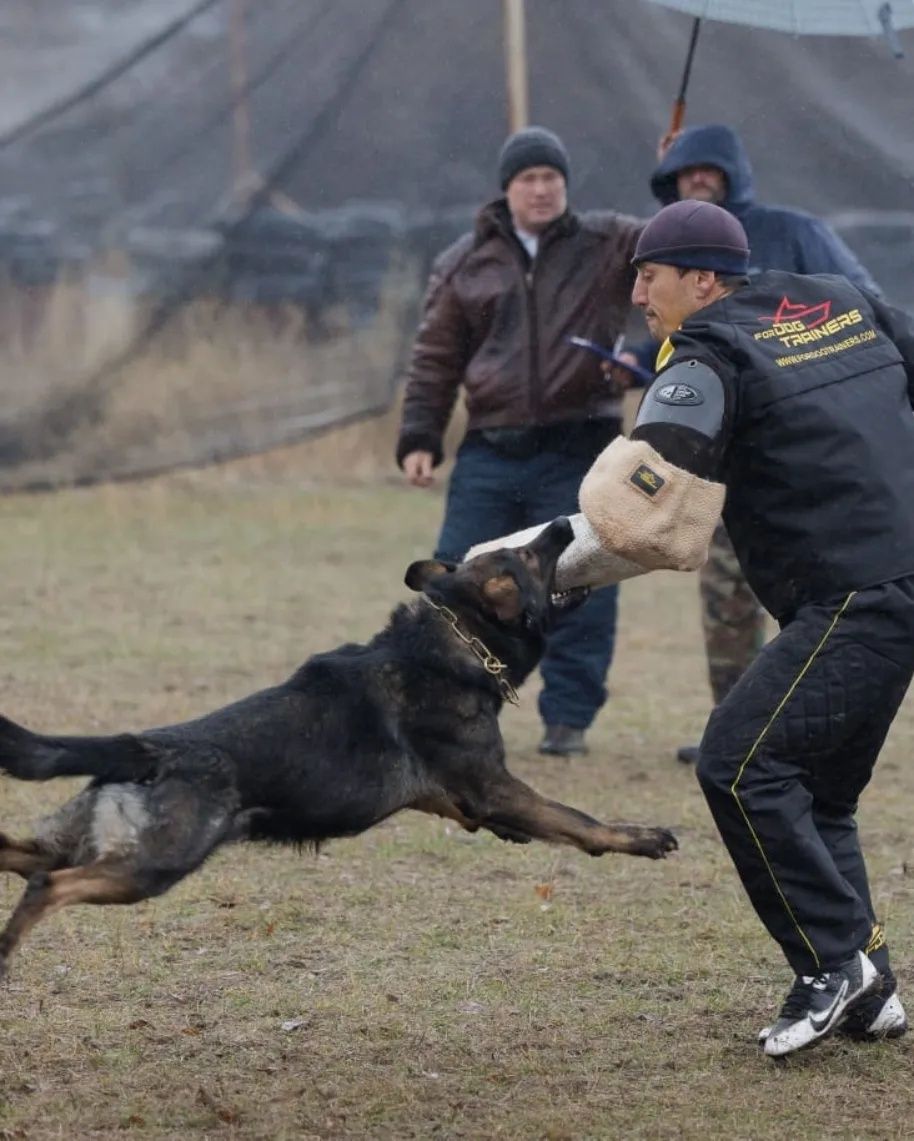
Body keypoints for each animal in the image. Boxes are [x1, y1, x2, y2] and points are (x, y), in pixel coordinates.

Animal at [0, 515, 670, 972]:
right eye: (529, 555)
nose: (562, 523)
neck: (455, 640)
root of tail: (143, 747)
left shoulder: (447, 793)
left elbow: (486, 811)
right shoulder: (494, 784)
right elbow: (575, 819)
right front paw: (638, 837)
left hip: (74, 843)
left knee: (22, 857)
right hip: (151, 865)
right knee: (47, 886)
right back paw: (10, 948)